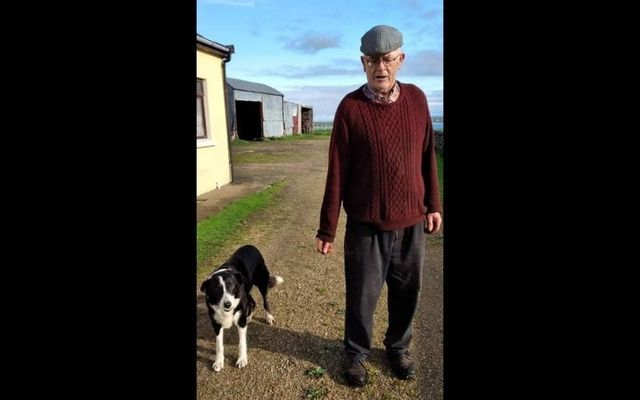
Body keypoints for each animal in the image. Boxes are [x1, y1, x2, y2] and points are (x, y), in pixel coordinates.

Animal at [199, 244, 282, 372]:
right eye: (216, 290)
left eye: (232, 286)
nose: (228, 304)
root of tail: (250, 246)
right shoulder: (216, 323)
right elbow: (219, 345)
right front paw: (219, 362)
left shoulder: (241, 322)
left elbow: (242, 342)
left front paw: (242, 359)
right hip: (247, 291)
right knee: (252, 302)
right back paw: (249, 317)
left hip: (262, 283)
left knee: (265, 301)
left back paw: (268, 317)